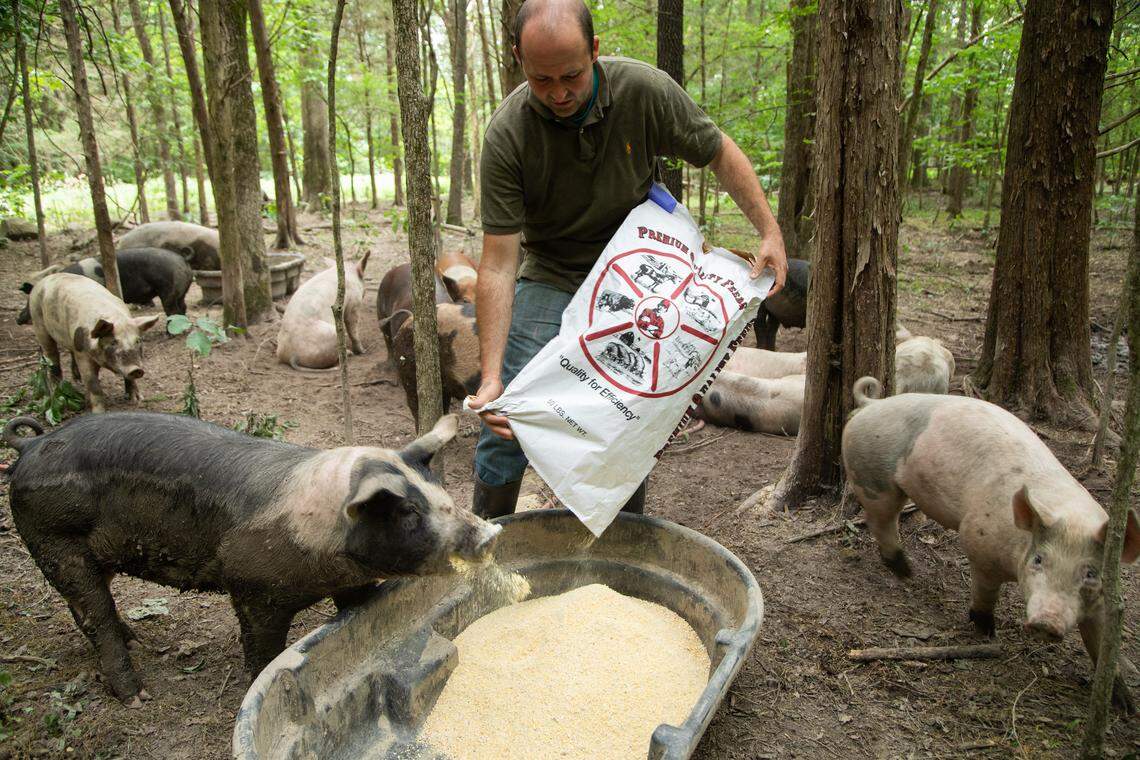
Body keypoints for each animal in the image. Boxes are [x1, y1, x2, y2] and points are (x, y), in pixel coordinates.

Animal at [2, 412, 500, 706]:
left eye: (440, 490)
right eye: (408, 511)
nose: (489, 533)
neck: (327, 547)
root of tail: (30, 446)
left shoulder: (350, 581)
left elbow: (358, 613)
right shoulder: (250, 585)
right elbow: (262, 650)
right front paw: (259, 680)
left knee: (88, 608)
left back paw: (136, 640)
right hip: (53, 540)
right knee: (93, 611)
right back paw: (137, 694)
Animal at [17, 249, 192, 324]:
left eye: (28, 300)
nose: (18, 318)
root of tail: (183, 262)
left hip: (168, 289)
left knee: (172, 310)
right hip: (180, 291)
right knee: (182, 307)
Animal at [28, 273, 160, 413]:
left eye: (138, 340)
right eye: (113, 342)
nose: (136, 369)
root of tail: (44, 280)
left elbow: (129, 379)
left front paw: (137, 399)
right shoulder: (83, 354)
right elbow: (92, 383)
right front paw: (99, 412)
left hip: (70, 340)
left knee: (70, 352)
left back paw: (77, 380)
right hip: (38, 322)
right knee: (51, 357)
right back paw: (57, 390)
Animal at [842, 376, 1140, 709]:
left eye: (1090, 572)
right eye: (1039, 559)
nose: (1046, 623)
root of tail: (871, 404)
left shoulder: (1105, 596)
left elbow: (1101, 643)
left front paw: (1125, 705)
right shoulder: (979, 541)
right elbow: (986, 592)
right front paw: (987, 632)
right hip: (875, 478)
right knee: (881, 521)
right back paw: (907, 573)